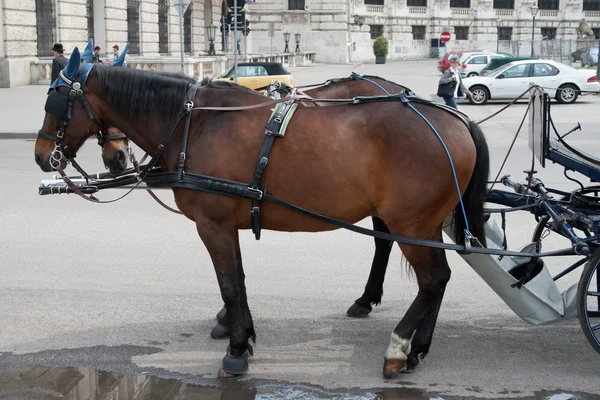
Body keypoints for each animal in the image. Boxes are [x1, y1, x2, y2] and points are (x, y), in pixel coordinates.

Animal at [35, 51, 490, 380]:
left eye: (54, 100)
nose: (41, 156)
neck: (196, 124)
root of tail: (456, 118)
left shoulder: (213, 226)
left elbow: (229, 285)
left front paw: (236, 350)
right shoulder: (226, 226)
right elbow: (237, 280)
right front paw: (243, 333)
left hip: (411, 222)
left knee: (431, 279)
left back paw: (398, 347)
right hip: (422, 224)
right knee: (439, 277)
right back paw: (417, 345)